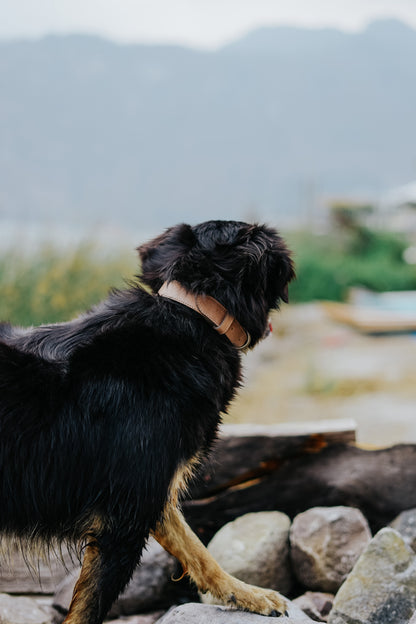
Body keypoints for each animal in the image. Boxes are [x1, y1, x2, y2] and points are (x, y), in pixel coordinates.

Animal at [0, 221, 292, 624]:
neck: (193, 311)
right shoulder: (124, 519)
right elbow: (88, 610)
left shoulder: (152, 492)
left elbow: (197, 550)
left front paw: (247, 594)